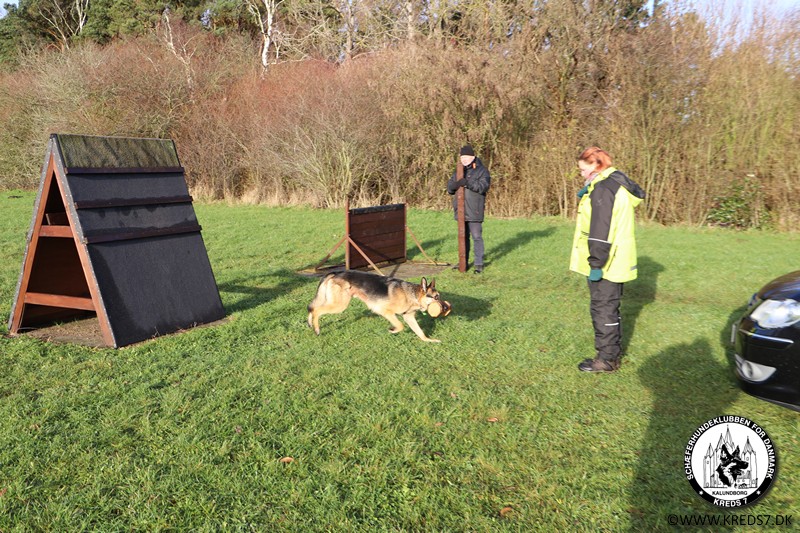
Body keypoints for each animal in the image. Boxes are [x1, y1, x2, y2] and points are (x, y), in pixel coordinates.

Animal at [307, 270, 442, 342]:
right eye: (436, 298)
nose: (445, 308)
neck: (412, 294)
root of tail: (336, 272)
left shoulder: (409, 317)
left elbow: (420, 332)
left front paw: (429, 340)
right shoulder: (385, 311)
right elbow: (400, 325)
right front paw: (392, 330)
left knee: (311, 307)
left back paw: (310, 324)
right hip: (339, 305)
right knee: (316, 310)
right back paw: (317, 329)